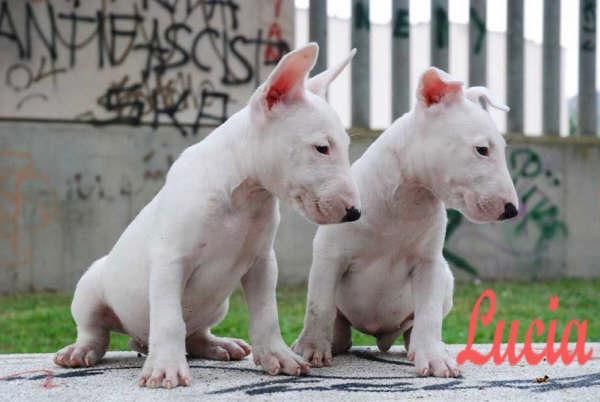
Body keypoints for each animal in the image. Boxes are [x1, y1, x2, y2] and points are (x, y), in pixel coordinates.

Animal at [54, 44, 358, 390]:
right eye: (322, 148)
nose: (355, 212)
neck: (244, 193)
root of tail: (137, 340)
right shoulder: (169, 260)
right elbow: (169, 319)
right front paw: (166, 371)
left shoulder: (262, 262)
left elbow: (266, 313)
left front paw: (278, 358)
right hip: (91, 288)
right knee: (96, 330)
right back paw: (80, 351)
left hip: (217, 305)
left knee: (194, 334)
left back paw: (219, 345)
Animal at [292, 67, 516, 378]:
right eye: (482, 149)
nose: (511, 211)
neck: (405, 200)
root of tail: (381, 337)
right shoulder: (330, 257)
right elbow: (319, 305)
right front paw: (311, 350)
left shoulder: (428, 264)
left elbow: (429, 313)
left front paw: (434, 360)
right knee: (339, 326)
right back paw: (331, 343)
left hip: (444, 280)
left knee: (417, 325)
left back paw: (421, 346)